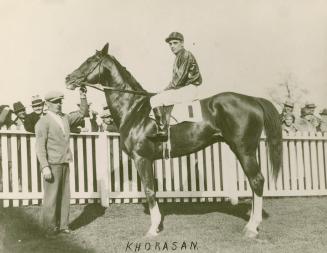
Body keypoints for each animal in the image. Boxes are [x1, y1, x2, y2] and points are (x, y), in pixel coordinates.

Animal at [65, 42, 284, 238]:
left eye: (90, 60)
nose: (68, 78)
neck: (135, 110)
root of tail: (253, 99)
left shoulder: (141, 158)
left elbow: (149, 190)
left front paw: (153, 229)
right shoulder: (149, 159)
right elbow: (152, 189)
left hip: (244, 149)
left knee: (257, 181)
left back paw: (252, 228)